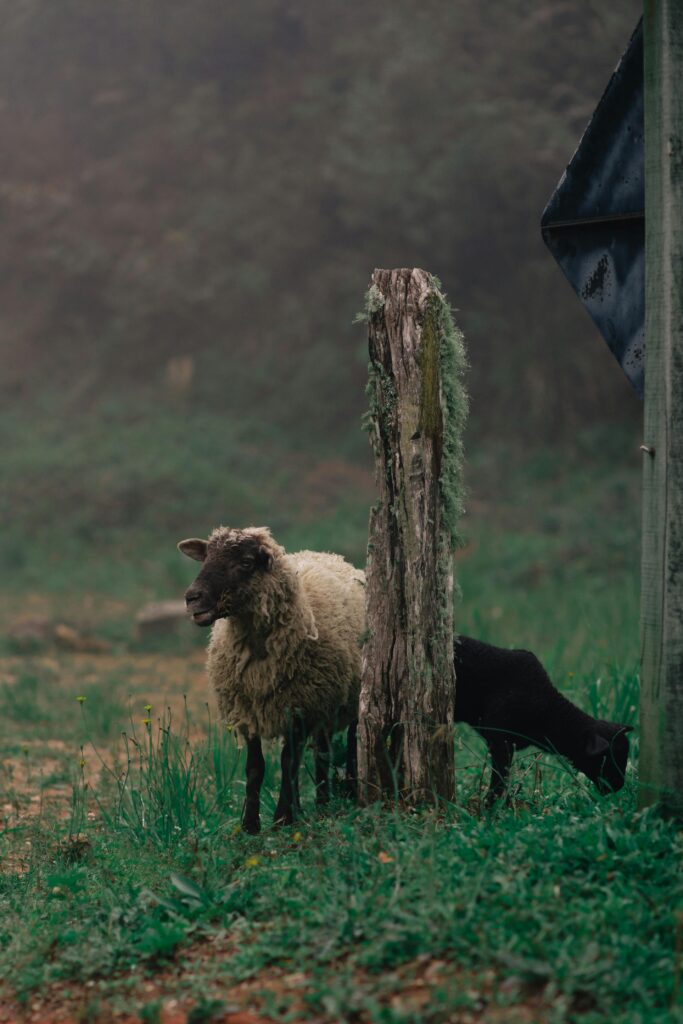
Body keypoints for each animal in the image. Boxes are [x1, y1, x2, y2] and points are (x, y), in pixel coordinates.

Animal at [178, 526, 365, 834]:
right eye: (206, 557)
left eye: (245, 562)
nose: (192, 597)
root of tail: (331, 556)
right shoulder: (249, 709)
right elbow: (256, 768)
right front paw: (250, 824)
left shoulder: (300, 707)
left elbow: (288, 762)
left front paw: (282, 819)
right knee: (321, 752)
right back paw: (315, 805)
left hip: (346, 699)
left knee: (348, 743)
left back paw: (340, 795)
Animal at [454, 635, 633, 805]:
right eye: (606, 758)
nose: (619, 786)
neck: (548, 710)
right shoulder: (499, 737)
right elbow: (500, 775)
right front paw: (494, 805)